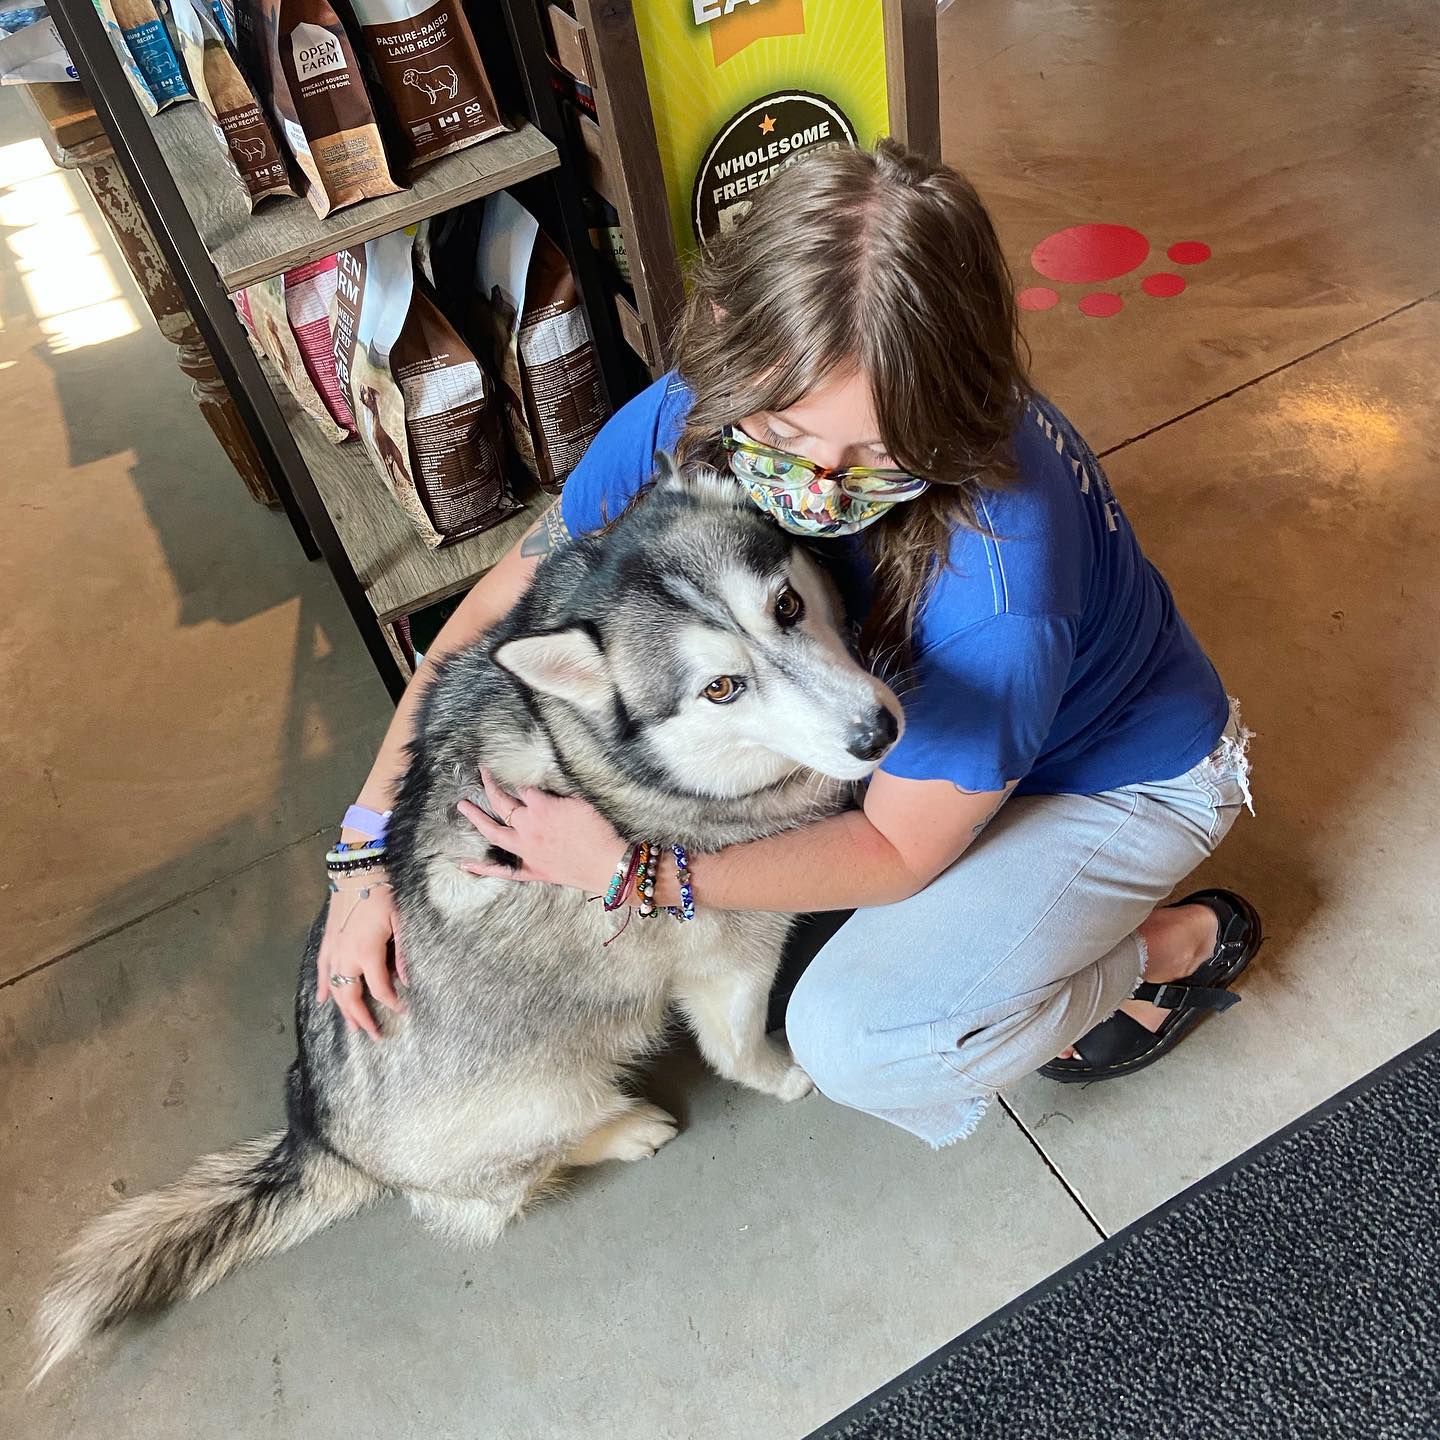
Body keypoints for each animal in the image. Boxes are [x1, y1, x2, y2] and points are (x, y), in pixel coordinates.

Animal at [36, 455, 898, 1376]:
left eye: (788, 606)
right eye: (722, 688)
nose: (877, 731)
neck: (584, 749)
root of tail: (316, 1129)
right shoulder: (728, 955)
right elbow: (738, 1048)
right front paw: (782, 1073)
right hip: (547, 1097)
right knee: (507, 1184)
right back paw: (624, 1129)